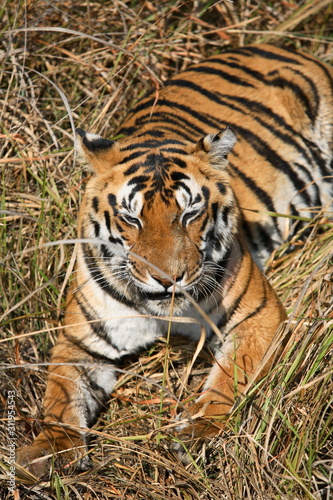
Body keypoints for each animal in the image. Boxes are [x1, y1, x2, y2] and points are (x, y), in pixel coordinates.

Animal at [16, 44, 332, 476]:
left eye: (190, 214)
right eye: (131, 218)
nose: (168, 279)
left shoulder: (260, 316)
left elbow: (231, 379)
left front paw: (198, 432)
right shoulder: (80, 341)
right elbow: (60, 396)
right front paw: (49, 449)